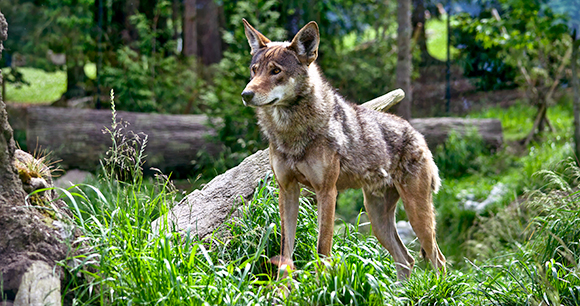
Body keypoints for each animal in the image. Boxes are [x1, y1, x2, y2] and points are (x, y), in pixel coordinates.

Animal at [242, 19, 446, 280]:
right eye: (254, 70)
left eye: (275, 71)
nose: (246, 94)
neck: (292, 131)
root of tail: (419, 134)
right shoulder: (287, 190)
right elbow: (285, 253)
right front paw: (281, 289)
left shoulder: (327, 192)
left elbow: (322, 250)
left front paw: (320, 285)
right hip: (377, 219)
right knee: (406, 260)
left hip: (417, 214)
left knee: (437, 260)